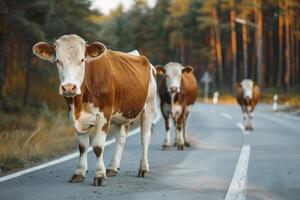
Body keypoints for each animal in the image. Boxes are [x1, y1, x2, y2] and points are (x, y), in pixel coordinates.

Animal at [32, 34, 157, 186]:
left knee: (145, 137)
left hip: (149, 107)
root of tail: (139, 56)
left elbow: (97, 146)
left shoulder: (104, 114)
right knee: (120, 138)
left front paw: (100, 176)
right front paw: (79, 173)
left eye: (82, 60)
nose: (68, 88)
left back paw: (143, 168)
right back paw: (112, 168)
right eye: (57, 61)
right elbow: (82, 146)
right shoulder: (74, 116)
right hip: (123, 113)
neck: (81, 102)